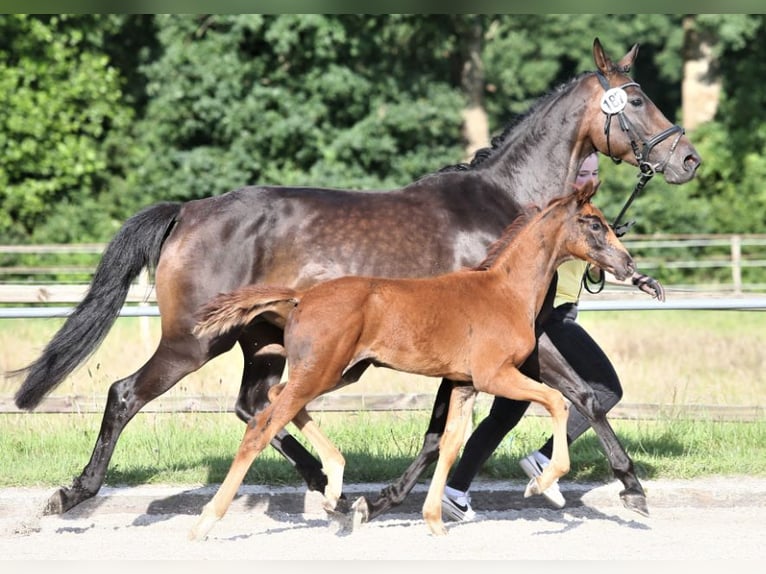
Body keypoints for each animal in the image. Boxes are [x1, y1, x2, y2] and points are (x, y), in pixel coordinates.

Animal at [190, 180, 636, 540]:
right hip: (322, 372)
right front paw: (541, 483)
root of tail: (301, 297)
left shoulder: (464, 384)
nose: (628, 263)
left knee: (277, 398)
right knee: (261, 426)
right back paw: (206, 521)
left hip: (336, 372)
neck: (505, 291)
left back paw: (334, 485)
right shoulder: (495, 375)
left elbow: (451, 443)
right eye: (593, 223)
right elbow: (557, 400)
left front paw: (434, 520)